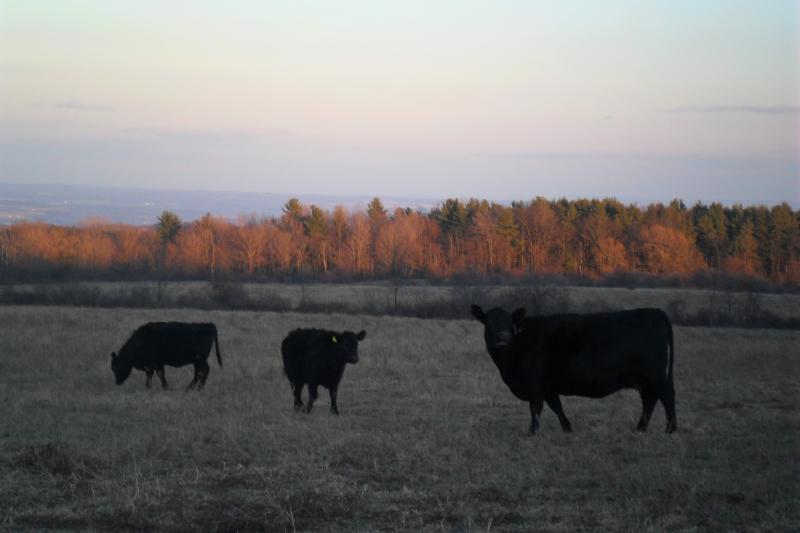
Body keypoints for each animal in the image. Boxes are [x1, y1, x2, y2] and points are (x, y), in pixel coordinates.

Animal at [470, 305, 676, 435]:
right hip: (645, 380)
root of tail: (655, 311)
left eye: (509, 323)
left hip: (655, 375)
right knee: (650, 400)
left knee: (666, 396)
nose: (503, 337)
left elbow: (536, 408)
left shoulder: (535, 385)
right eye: (489, 323)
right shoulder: (549, 387)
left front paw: (532, 431)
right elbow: (557, 407)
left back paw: (670, 429)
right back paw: (640, 429)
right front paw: (567, 428)